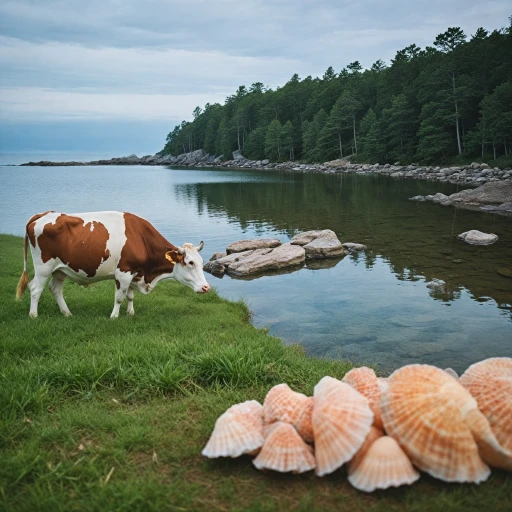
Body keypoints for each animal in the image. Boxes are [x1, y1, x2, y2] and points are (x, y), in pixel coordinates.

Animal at [15, 211, 210, 316]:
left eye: (202, 263)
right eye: (190, 262)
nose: (206, 287)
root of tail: (43, 214)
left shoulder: (134, 272)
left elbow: (130, 296)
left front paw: (130, 313)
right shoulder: (123, 272)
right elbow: (119, 297)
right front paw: (114, 316)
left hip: (60, 269)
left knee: (55, 289)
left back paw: (67, 313)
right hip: (43, 267)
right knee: (35, 288)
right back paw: (33, 315)